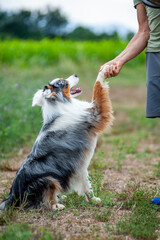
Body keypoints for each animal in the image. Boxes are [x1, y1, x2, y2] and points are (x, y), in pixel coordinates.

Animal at [0, 67, 114, 210]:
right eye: (63, 82)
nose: (75, 74)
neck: (60, 105)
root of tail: (11, 198)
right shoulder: (95, 113)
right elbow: (98, 87)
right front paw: (104, 71)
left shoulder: (79, 167)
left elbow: (86, 184)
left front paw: (93, 199)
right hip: (46, 179)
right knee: (42, 202)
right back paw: (57, 205)